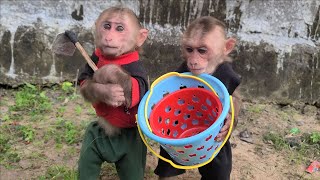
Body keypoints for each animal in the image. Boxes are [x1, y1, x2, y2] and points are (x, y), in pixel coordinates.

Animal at [76, 5, 149, 180]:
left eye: (120, 28)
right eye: (107, 26)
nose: (109, 37)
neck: (116, 58)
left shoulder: (138, 68)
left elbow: (138, 87)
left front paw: (107, 72)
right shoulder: (94, 56)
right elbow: (84, 82)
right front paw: (106, 91)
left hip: (132, 150)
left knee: (132, 170)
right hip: (97, 137)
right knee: (89, 157)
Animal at [154, 15, 241, 180]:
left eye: (202, 51)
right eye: (189, 50)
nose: (193, 61)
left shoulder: (230, 75)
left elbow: (235, 101)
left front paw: (228, 124)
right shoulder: (182, 68)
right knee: (167, 167)